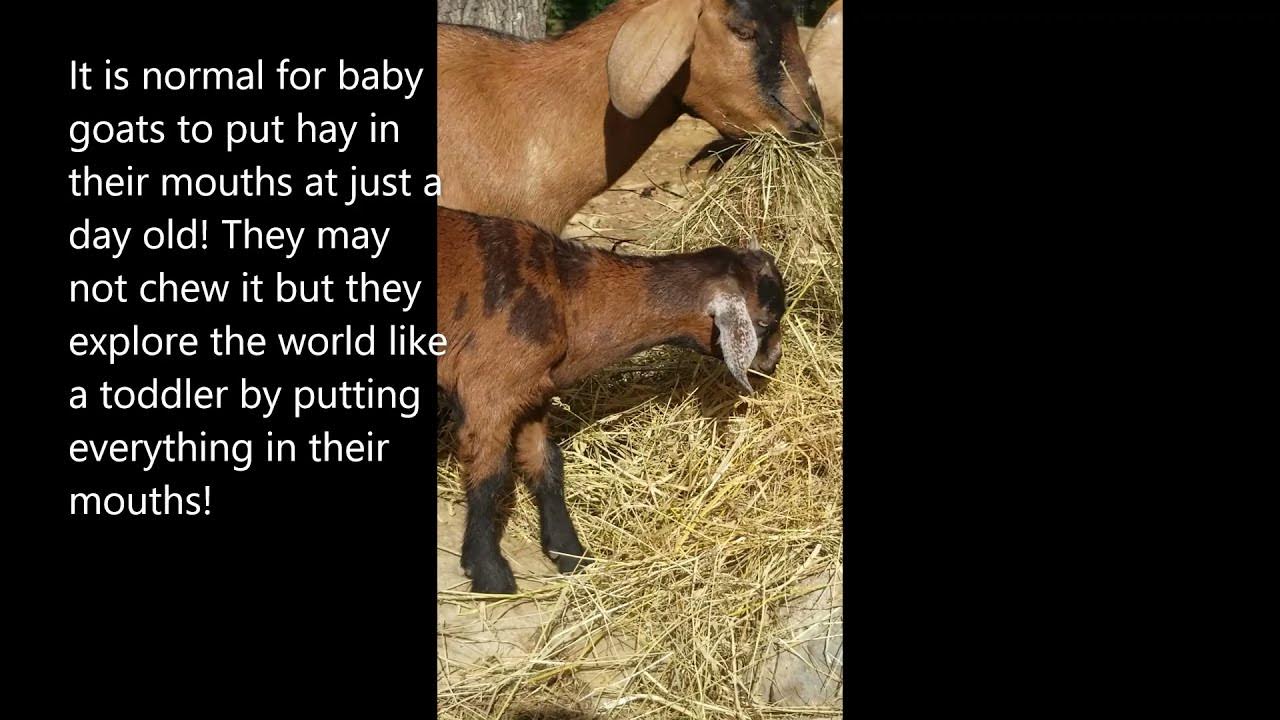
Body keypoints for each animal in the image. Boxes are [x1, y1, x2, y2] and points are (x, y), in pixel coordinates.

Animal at [437, 206, 788, 594]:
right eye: (764, 322)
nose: (773, 362)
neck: (564, 293)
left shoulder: (531, 393)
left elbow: (545, 461)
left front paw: (571, 554)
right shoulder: (489, 390)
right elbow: (490, 475)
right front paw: (489, 574)